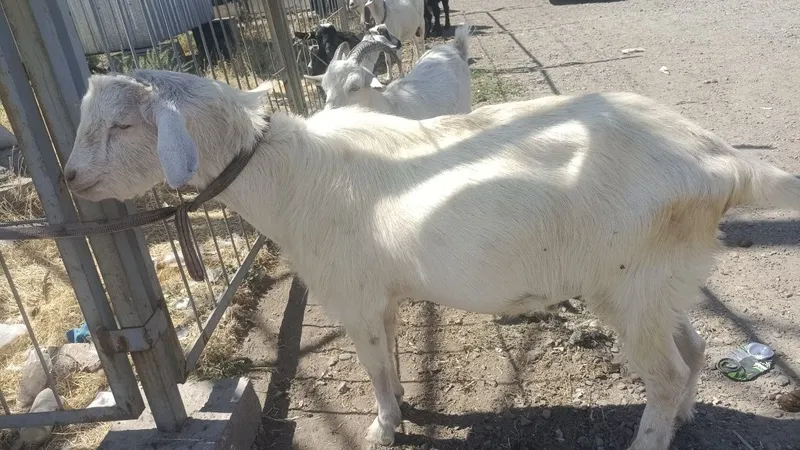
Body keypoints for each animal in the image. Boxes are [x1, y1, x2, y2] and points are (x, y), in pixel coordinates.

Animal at [64, 69, 800, 450]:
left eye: (122, 125)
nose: (69, 179)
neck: (288, 177)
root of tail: (720, 162)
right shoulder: (382, 296)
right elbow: (389, 359)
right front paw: (401, 414)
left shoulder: (352, 294)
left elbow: (375, 368)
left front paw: (383, 428)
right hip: (660, 277)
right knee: (693, 349)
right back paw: (687, 419)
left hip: (630, 282)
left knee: (667, 374)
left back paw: (651, 437)